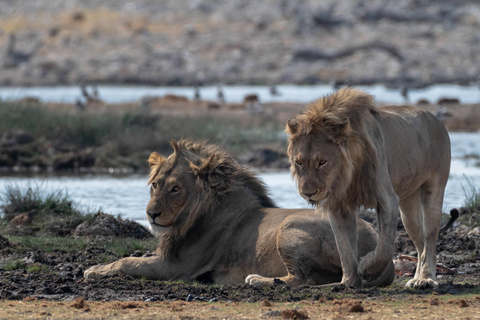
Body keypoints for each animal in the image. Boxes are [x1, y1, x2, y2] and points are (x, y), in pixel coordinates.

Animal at [85, 139, 394, 286]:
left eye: (175, 189)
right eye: (154, 185)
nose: (151, 214)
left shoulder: (176, 267)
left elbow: (126, 261)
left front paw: (92, 270)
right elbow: (131, 258)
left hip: (290, 226)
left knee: (302, 279)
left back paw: (258, 280)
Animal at [286, 87, 452, 290]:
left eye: (322, 162)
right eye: (299, 162)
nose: (308, 193)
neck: (347, 174)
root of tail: (436, 119)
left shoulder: (387, 200)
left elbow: (384, 247)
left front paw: (367, 269)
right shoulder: (338, 205)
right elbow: (344, 247)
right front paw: (349, 282)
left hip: (434, 189)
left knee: (429, 237)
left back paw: (426, 279)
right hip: (408, 207)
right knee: (419, 241)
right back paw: (417, 277)